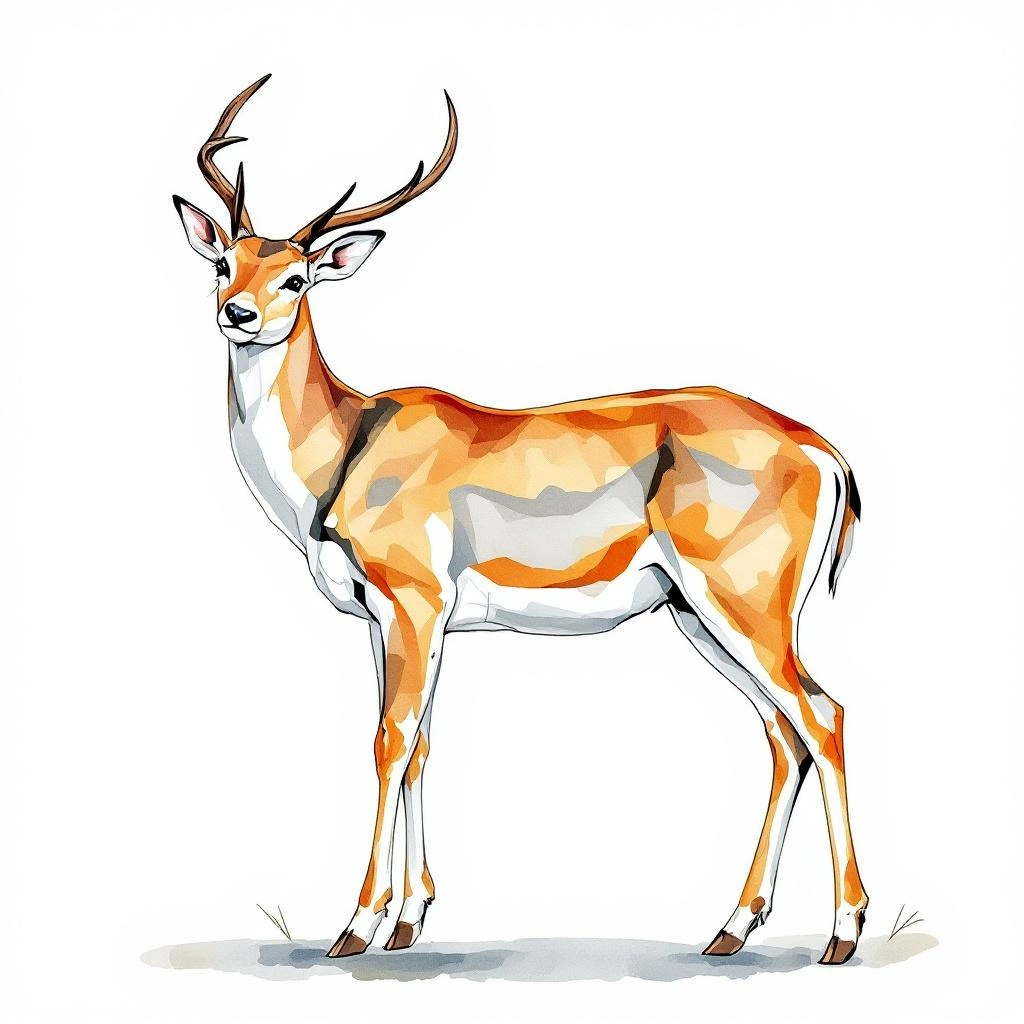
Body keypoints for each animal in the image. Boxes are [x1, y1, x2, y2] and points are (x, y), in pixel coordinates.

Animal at [172, 74, 869, 965]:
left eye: (297, 278)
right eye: (226, 261)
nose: (238, 313)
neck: (346, 444)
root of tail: (820, 447)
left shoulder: (415, 605)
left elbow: (388, 743)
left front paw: (355, 927)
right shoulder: (391, 622)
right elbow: (420, 748)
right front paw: (409, 919)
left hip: (746, 606)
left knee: (824, 716)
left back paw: (842, 934)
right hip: (695, 615)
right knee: (785, 736)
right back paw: (730, 929)